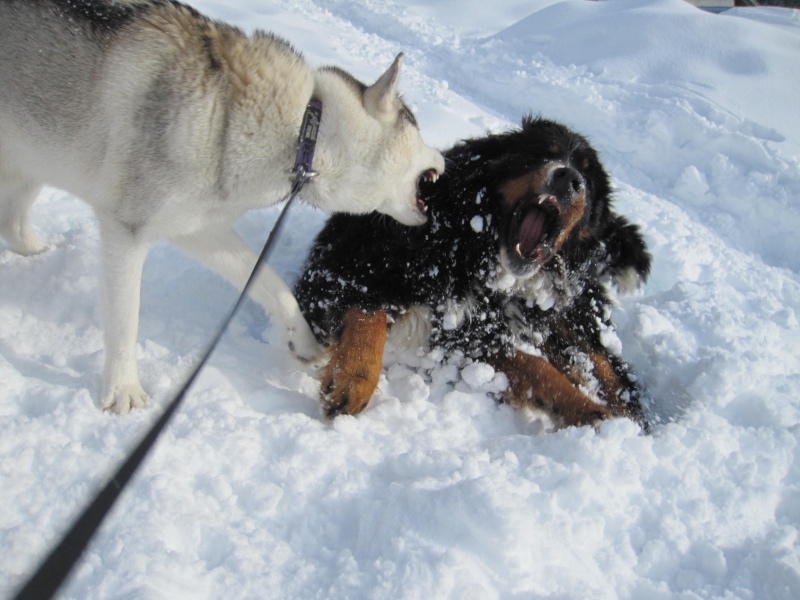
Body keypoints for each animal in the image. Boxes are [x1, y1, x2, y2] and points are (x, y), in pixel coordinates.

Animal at [0, 0, 444, 412]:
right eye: (417, 125)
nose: (444, 159)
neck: (304, 129)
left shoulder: (198, 228)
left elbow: (272, 285)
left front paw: (303, 343)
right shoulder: (127, 230)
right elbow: (126, 320)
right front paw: (123, 391)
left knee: (14, 222)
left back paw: (37, 251)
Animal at [294, 115, 648, 428]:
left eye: (588, 179)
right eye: (541, 153)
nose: (570, 179)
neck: (468, 249)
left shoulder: (471, 333)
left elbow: (536, 367)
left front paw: (590, 411)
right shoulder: (341, 265)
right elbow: (369, 318)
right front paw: (351, 380)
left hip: (573, 311)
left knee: (606, 363)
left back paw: (631, 419)